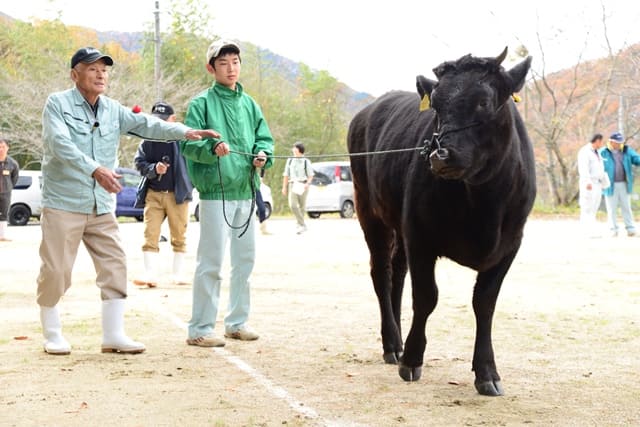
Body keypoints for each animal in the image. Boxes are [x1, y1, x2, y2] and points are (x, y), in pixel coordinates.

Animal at [348, 48, 536, 396]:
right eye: (435, 105)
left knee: (397, 273)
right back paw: (393, 344)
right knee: (382, 273)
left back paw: (396, 342)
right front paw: (412, 359)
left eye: (484, 101)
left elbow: (484, 303)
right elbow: (426, 297)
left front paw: (487, 373)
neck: (483, 205)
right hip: (369, 209)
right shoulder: (420, 236)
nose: (440, 155)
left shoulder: (509, 245)